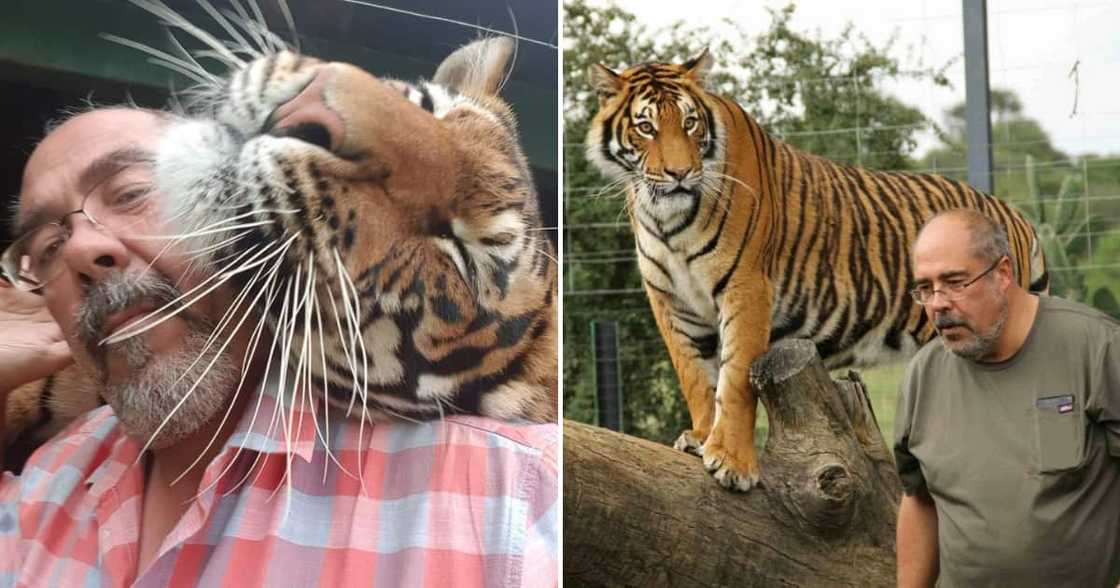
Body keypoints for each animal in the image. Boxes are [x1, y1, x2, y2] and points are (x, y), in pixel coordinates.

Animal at [586, 49, 1048, 490]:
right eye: (646, 127)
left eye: (690, 123)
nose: (680, 174)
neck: (668, 220)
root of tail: (1012, 214)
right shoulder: (670, 300)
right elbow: (696, 377)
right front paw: (701, 437)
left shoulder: (746, 288)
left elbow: (734, 379)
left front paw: (733, 463)